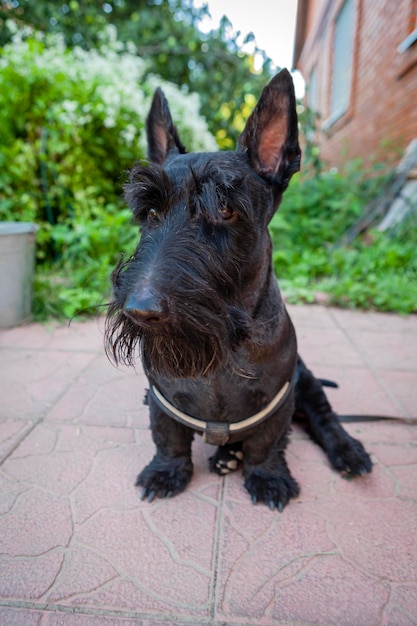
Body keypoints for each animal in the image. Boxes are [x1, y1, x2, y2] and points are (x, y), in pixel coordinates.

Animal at [105, 68, 372, 510]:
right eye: (151, 211)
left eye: (225, 208)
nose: (140, 311)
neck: (224, 343)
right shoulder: (163, 400)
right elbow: (168, 436)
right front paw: (166, 471)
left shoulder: (279, 401)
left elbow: (267, 442)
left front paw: (268, 477)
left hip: (308, 382)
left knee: (325, 418)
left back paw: (347, 450)